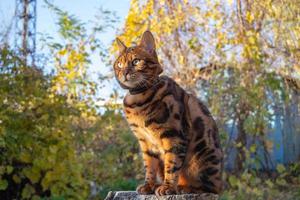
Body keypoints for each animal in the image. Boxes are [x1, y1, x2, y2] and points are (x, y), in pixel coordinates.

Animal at [112, 31, 223, 195]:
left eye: (136, 61)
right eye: (119, 64)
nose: (124, 72)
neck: (138, 99)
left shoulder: (174, 135)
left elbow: (172, 164)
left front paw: (168, 187)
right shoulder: (145, 141)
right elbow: (150, 166)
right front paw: (149, 185)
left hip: (203, 157)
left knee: (210, 188)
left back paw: (183, 188)